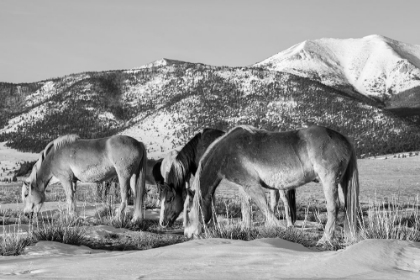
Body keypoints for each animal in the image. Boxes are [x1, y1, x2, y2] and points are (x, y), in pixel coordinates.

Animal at [159, 128, 296, 229]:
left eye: (169, 199)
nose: (162, 223)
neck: (198, 150)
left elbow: (211, 200)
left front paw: (213, 224)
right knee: (274, 200)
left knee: (284, 200)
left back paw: (289, 223)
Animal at [185, 124, 360, 243]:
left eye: (187, 211)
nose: (188, 234)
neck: (225, 152)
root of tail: (344, 139)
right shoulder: (244, 187)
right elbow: (247, 209)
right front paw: (246, 230)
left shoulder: (251, 185)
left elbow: (265, 208)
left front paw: (279, 230)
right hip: (342, 182)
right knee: (346, 206)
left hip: (329, 180)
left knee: (333, 208)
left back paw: (325, 239)